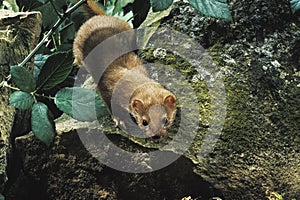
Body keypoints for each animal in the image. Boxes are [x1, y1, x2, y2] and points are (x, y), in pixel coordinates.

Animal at [73, 0, 176, 138]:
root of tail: (98, 17)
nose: (157, 135)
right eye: (144, 121)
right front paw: (120, 120)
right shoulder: (104, 85)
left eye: (165, 120)